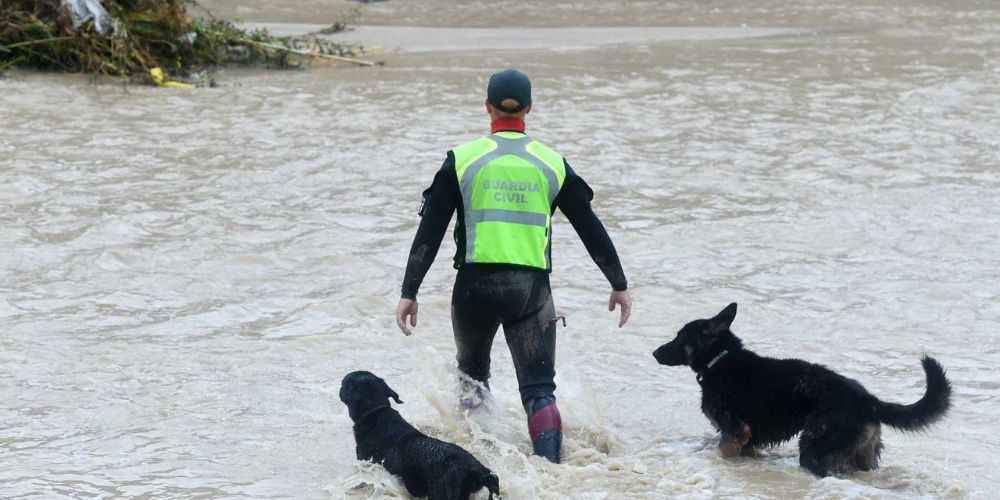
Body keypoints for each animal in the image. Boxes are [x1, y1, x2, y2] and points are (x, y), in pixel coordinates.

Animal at [652, 300, 948, 476]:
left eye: (679, 337)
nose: (654, 352)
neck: (720, 360)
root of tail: (868, 400)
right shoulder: (745, 440)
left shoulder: (735, 432)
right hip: (862, 457)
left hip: (814, 450)